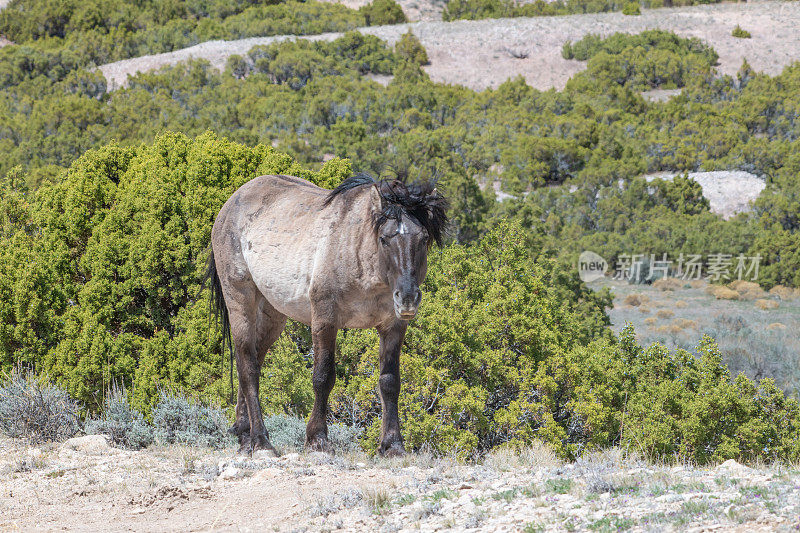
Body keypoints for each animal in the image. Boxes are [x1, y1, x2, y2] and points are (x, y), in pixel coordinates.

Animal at [206, 172, 446, 456]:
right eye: (384, 239)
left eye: (424, 239)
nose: (407, 298)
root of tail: (231, 203)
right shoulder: (325, 319)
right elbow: (323, 377)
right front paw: (317, 439)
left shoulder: (393, 327)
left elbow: (389, 382)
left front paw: (393, 444)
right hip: (241, 300)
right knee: (248, 367)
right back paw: (261, 441)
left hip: (272, 315)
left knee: (252, 361)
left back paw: (245, 437)